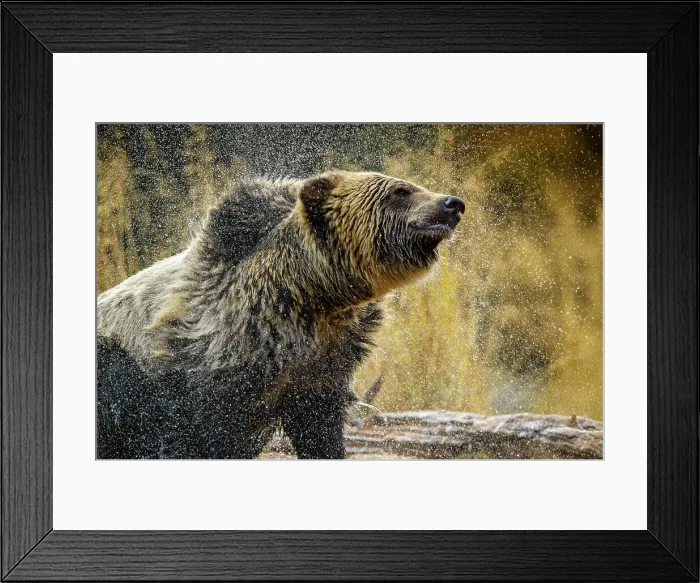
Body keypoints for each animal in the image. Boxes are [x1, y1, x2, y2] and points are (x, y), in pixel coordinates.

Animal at [97, 171, 465, 459]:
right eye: (400, 190)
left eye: (412, 185)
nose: (453, 204)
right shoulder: (194, 380)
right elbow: (188, 437)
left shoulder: (323, 366)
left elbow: (320, 429)